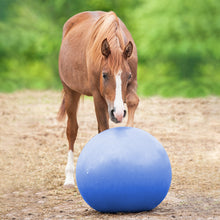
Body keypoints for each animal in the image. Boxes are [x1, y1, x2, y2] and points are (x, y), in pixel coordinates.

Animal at [57, 10, 138, 187]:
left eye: (128, 76)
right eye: (105, 75)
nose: (118, 113)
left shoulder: (131, 86)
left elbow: (133, 102)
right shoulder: (98, 97)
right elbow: (103, 128)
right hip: (71, 92)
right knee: (72, 130)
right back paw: (69, 178)